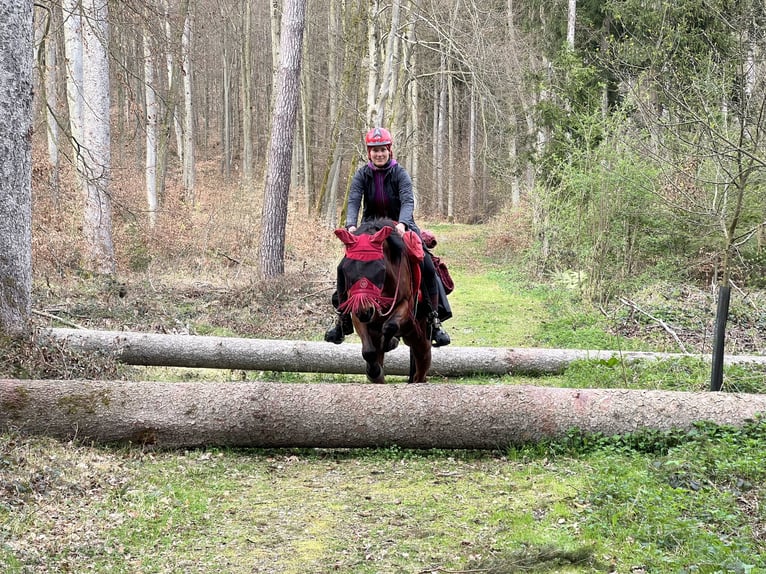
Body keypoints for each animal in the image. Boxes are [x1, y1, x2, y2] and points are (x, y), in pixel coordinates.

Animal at [334, 219, 432, 384]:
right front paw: (374, 371)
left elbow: (390, 326)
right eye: (347, 269)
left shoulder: (405, 305)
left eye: (380, 269)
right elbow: (369, 351)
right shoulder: (357, 312)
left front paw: (390, 343)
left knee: (422, 361)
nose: (365, 311)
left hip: (420, 336)